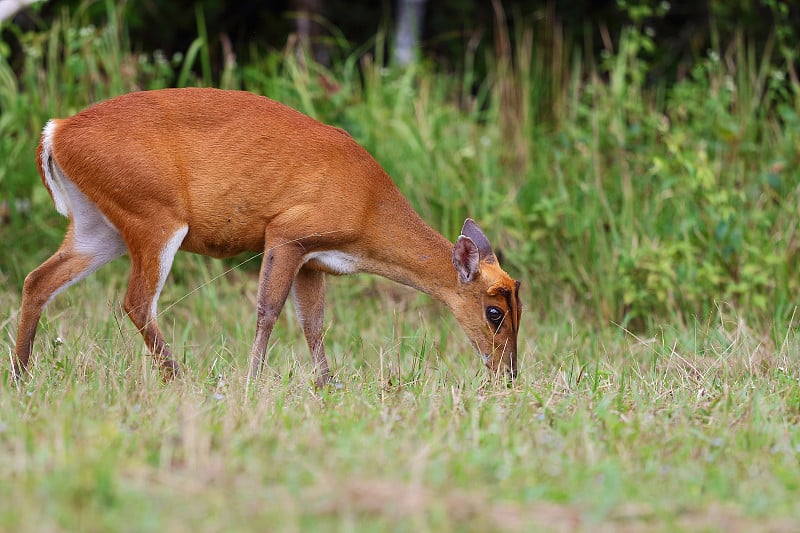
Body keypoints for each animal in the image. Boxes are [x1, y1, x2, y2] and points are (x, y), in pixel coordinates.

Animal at [14, 88, 524, 386]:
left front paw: (326, 385)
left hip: (97, 226)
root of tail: (55, 131)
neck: (369, 209)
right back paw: (182, 379)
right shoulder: (287, 231)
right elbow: (267, 311)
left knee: (37, 279)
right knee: (136, 301)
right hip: (153, 215)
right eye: (494, 312)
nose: (509, 374)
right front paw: (253, 381)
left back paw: (20, 375)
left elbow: (313, 323)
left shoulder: (314, 260)